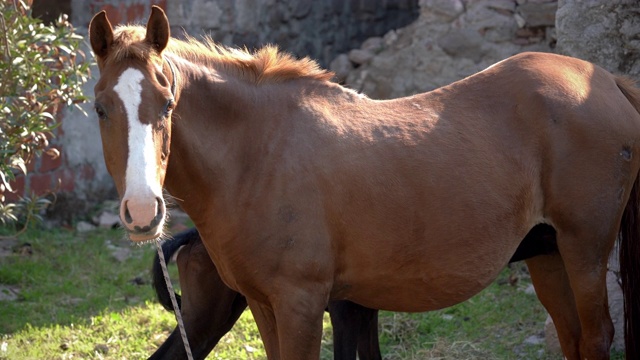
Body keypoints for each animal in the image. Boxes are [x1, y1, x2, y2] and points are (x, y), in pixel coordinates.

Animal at [89, 6, 640, 360]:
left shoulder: (302, 305)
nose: (143, 211)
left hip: (584, 249)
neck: (260, 156)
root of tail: (604, 80)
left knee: (596, 337)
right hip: (548, 254)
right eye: (100, 108)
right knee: (573, 339)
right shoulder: (265, 305)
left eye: (167, 103)